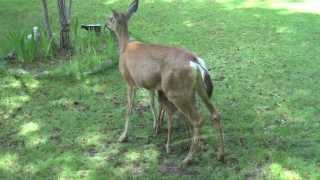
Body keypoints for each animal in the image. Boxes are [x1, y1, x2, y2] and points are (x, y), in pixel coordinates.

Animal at [105, 0, 225, 165]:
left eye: (111, 18)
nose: (105, 24)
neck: (125, 47)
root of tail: (194, 61)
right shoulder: (149, 85)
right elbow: (152, 104)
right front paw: (156, 126)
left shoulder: (129, 81)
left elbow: (129, 108)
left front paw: (123, 136)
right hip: (197, 88)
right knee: (215, 114)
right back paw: (220, 154)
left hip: (176, 91)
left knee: (198, 119)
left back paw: (188, 158)